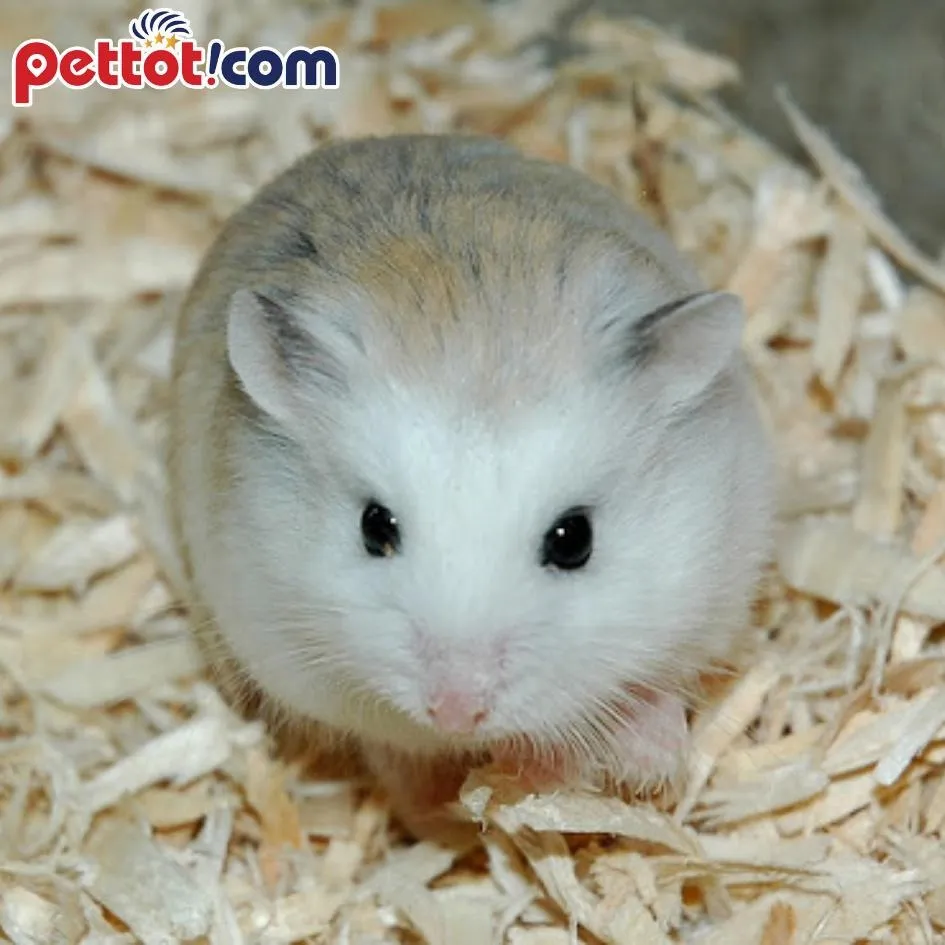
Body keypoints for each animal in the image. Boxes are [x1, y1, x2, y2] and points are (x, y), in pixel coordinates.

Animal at [167, 133, 775, 832]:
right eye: (374, 527)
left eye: (574, 540)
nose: (456, 714)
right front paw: (492, 792)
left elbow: (649, 685)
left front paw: (646, 770)